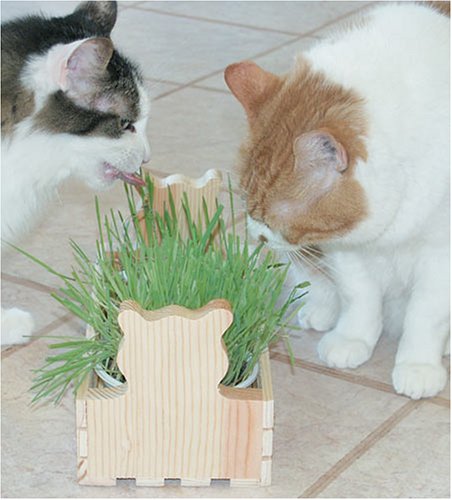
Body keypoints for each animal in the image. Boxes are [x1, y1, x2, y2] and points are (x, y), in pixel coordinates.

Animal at [225, 2, 450, 400]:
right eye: (248, 206)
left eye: (273, 220)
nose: (256, 234)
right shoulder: (345, 248)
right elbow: (359, 296)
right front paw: (351, 338)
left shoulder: (441, 256)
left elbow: (426, 313)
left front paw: (418, 365)